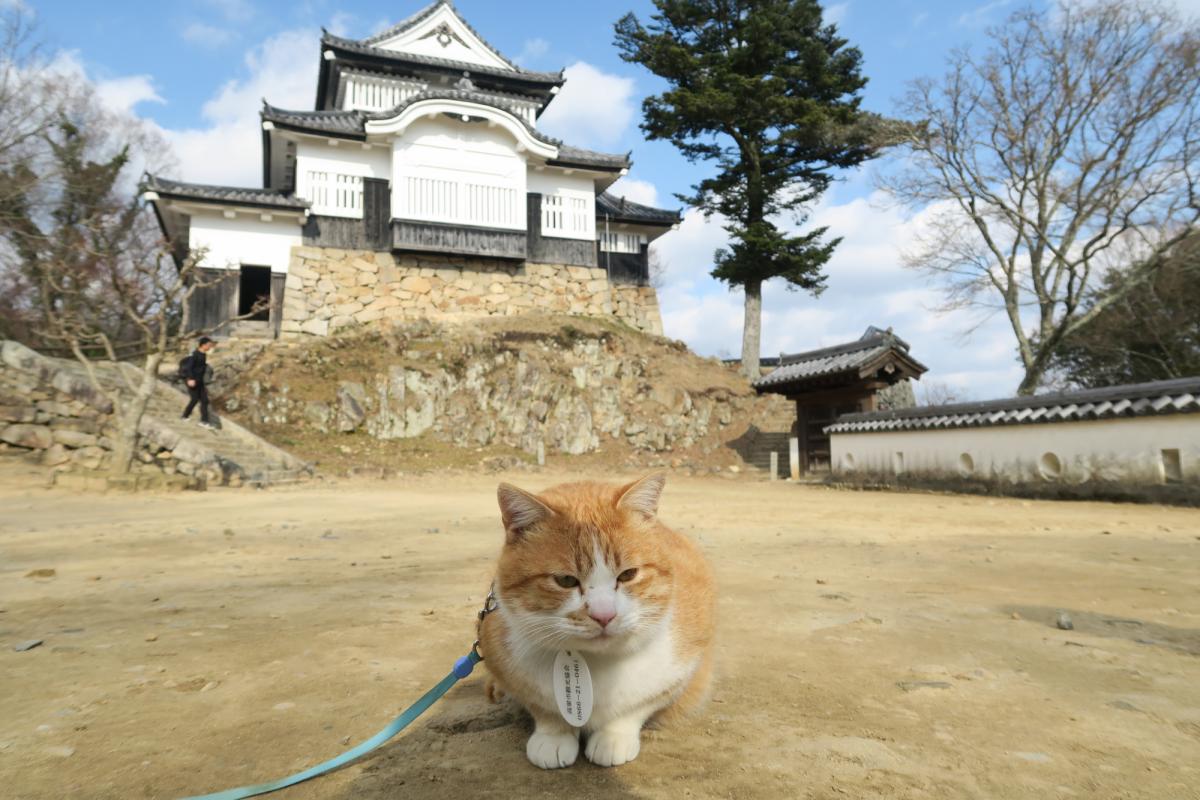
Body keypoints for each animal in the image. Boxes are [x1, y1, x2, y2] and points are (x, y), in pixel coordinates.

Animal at [475, 474, 710, 767]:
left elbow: (636, 707)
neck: (597, 663)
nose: (604, 615)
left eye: (628, 574)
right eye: (565, 580)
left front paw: (613, 736)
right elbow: (544, 710)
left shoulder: (681, 671)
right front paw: (554, 735)